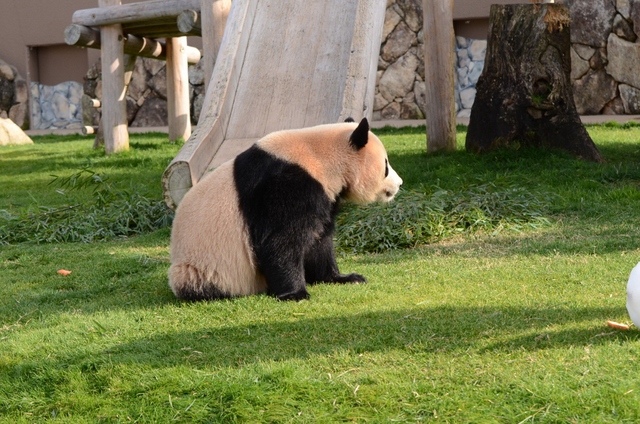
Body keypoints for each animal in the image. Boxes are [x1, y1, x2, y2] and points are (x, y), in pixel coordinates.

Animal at [169, 117, 400, 300]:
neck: (323, 159)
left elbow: (320, 239)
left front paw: (343, 278)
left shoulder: (324, 194)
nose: (399, 184)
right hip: (204, 266)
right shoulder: (286, 184)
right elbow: (281, 240)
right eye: (386, 166)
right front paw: (296, 293)